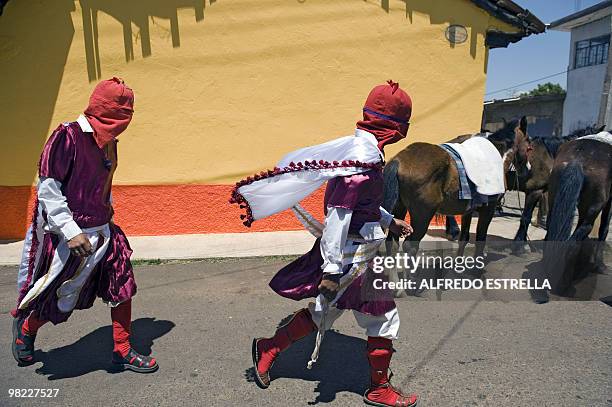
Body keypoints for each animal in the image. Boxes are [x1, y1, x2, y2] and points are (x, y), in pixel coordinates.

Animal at [382, 116, 532, 262]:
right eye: (530, 148)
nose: (527, 170)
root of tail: (399, 160)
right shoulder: (488, 209)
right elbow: (480, 239)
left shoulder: (468, 211)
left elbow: (464, 238)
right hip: (423, 215)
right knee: (410, 246)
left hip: (400, 208)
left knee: (392, 242)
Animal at [540, 135, 612, 298]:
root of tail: (577, 161)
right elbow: (604, 229)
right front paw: (601, 266)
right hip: (592, 210)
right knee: (574, 242)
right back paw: (564, 285)